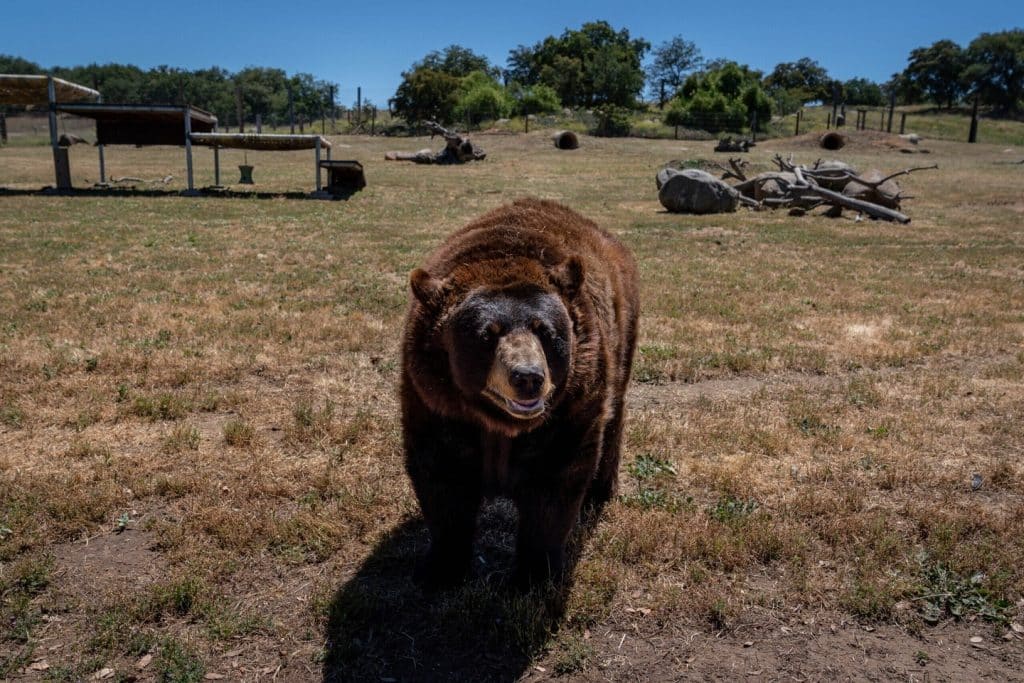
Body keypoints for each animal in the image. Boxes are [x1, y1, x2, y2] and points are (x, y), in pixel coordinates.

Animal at [401, 198, 640, 587]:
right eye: (487, 335)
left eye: (544, 330)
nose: (528, 377)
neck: (500, 424)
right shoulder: (434, 402)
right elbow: (442, 479)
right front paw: (441, 568)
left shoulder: (570, 410)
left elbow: (552, 487)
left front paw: (533, 575)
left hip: (623, 334)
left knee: (615, 412)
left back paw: (600, 489)